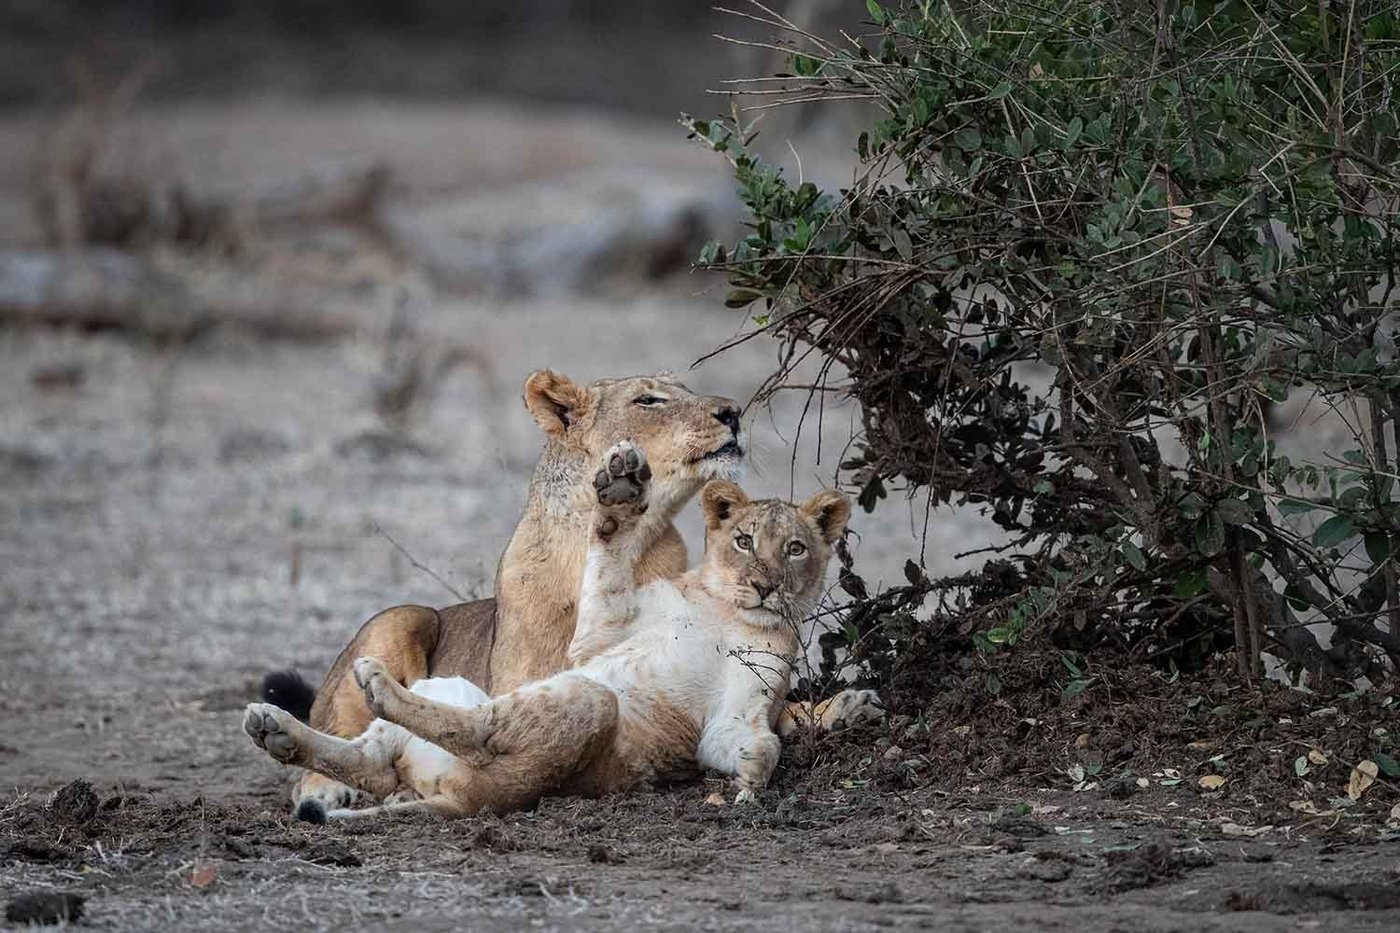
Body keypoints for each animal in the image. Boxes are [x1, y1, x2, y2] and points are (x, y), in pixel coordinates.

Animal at [276, 369, 881, 817]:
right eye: (650, 399)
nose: (732, 411)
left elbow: (770, 716)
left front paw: (841, 706)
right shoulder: (541, 670)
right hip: (403, 617)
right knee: (336, 740)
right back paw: (323, 785)